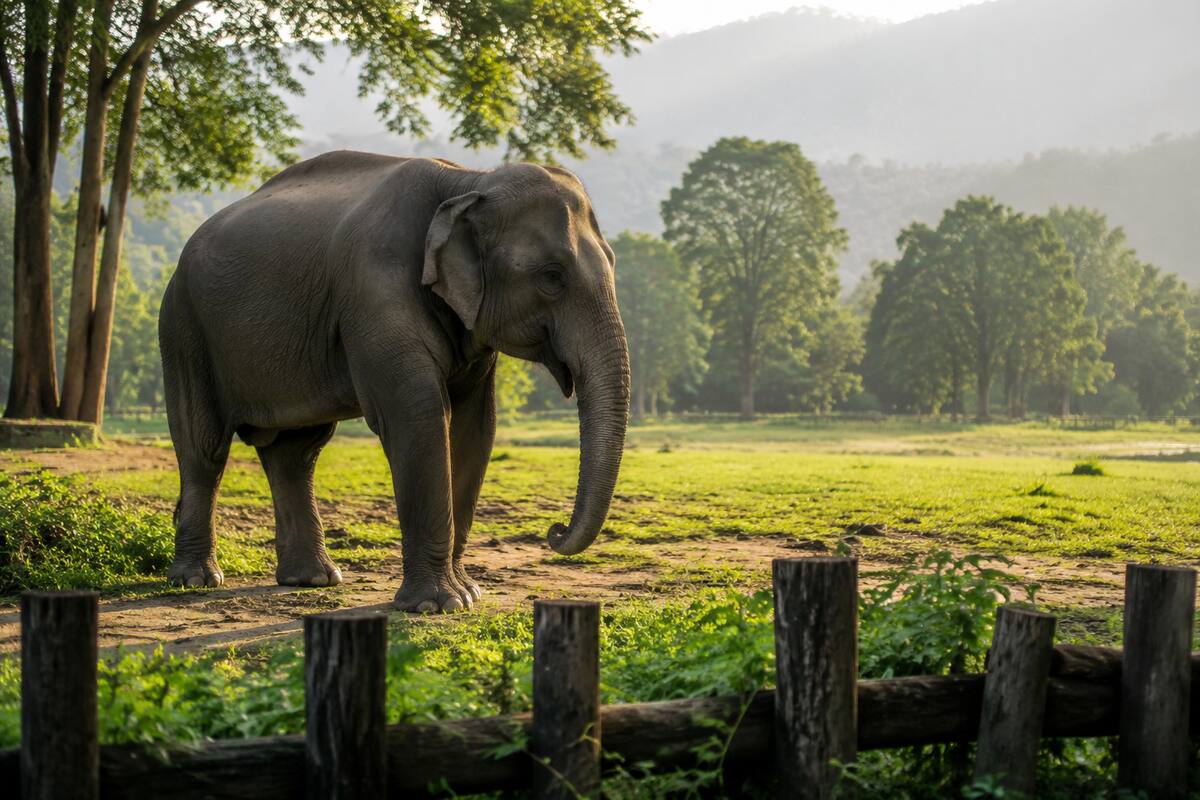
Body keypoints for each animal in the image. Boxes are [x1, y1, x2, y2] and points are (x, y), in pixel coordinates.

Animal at [158, 151, 630, 612]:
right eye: (551, 276)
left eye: (613, 261)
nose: (554, 531)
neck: (468, 180)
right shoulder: (375, 292)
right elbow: (418, 415)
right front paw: (439, 604)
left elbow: (476, 426)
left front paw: (468, 594)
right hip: (183, 327)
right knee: (205, 448)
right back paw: (197, 580)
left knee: (296, 453)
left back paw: (313, 579)